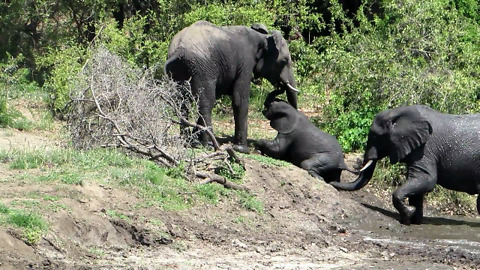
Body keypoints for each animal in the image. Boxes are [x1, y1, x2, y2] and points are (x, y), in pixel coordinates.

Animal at [165, 20, 300, 153]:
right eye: (283, 61)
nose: (280, 86)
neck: (263, 37)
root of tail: (179, 49)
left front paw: (195, 140)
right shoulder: (246, 62)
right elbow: (240, 100)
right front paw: (242, 149)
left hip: (180, 69)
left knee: (182, 103)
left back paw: (186, 141)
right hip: (202, 68)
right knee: (206, 103)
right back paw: (209, 145)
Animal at [332, 104, 480, 225]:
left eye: (375, 136)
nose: (331, 182)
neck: (397, 113)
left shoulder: (426, 148)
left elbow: (426, 180)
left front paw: (409, 213)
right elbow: (417, 184)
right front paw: (414, 220)